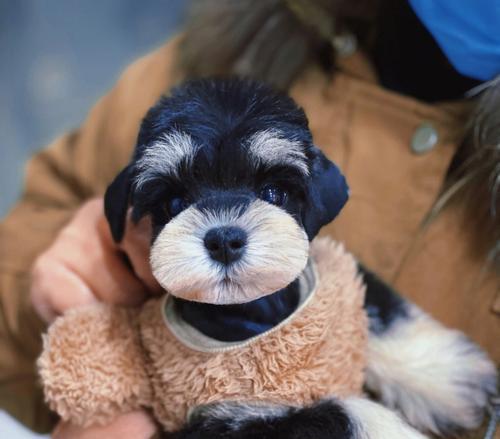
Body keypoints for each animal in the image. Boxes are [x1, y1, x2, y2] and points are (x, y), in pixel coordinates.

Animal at [104, 77, 496, 438]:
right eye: (173, 203)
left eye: (273, 192)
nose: (224, 240)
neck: (255, 311)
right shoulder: (225, 418)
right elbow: (343, 415)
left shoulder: (338, 270)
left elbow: (379, 308)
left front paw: (448, 373)